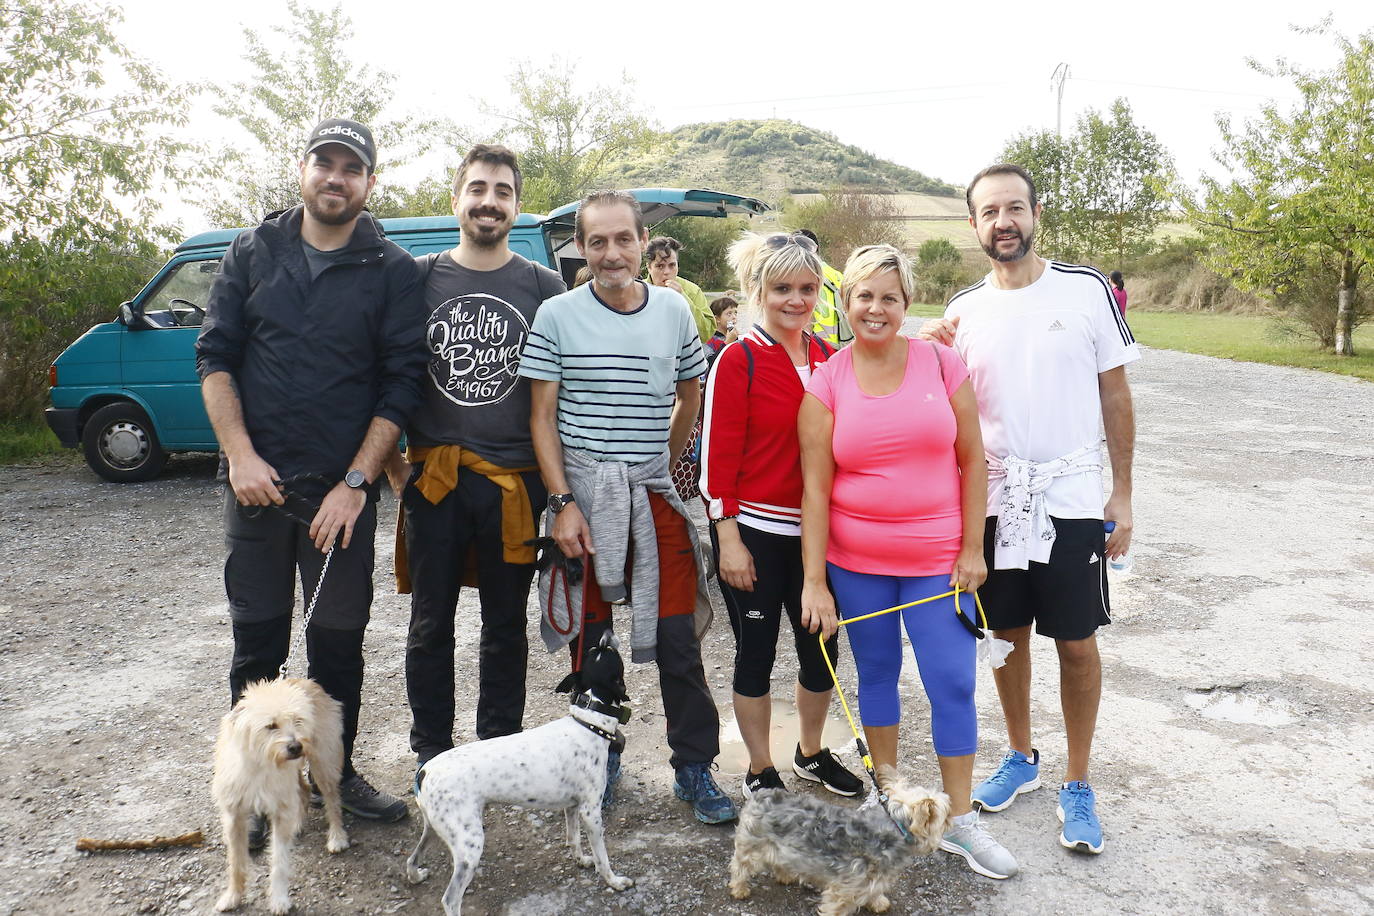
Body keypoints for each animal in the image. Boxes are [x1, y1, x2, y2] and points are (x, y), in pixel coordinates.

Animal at [211, 678, 348, 911]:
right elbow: (236, 862)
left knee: (332, 800)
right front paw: (233, 896)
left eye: (298, 720)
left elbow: (279, 861)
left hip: (323, 763)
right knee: (304, 790)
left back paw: (337, 837)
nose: (296, 746)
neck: (261, 765)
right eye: (271, 725)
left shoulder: (281, 811)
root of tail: (309, 683)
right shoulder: (234, 816)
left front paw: (279, 900)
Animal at [403, 634, 634, 911]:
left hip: (435, 828)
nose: (605, 634)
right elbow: (602, 857)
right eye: (610, 652)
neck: (588, 722)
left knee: (412, 859)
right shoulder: (590, 812)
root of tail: (425, 771)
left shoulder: (572, 807)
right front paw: (614, 881)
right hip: (469, 845)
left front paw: (580, 860)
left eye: (594, 650)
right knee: (450, 899)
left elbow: (573, 839)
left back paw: (415, 875)